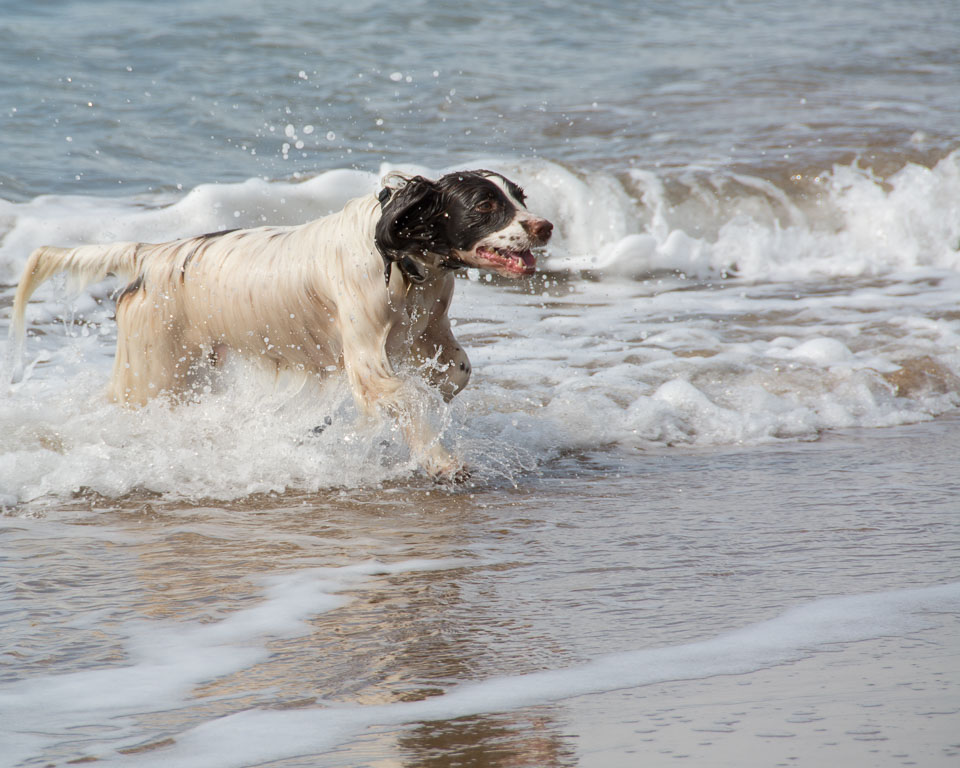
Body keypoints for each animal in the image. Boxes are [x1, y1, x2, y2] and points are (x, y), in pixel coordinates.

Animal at [11, 171, 556, 480]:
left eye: (521, 198)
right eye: (486, 206)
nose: (545, 226)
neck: (404, 261)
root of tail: (151, 255)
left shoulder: (429, 329)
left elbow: (454, 372)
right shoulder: (367, 359)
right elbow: (407, 397)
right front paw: (441, 461)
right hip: (155, 375)